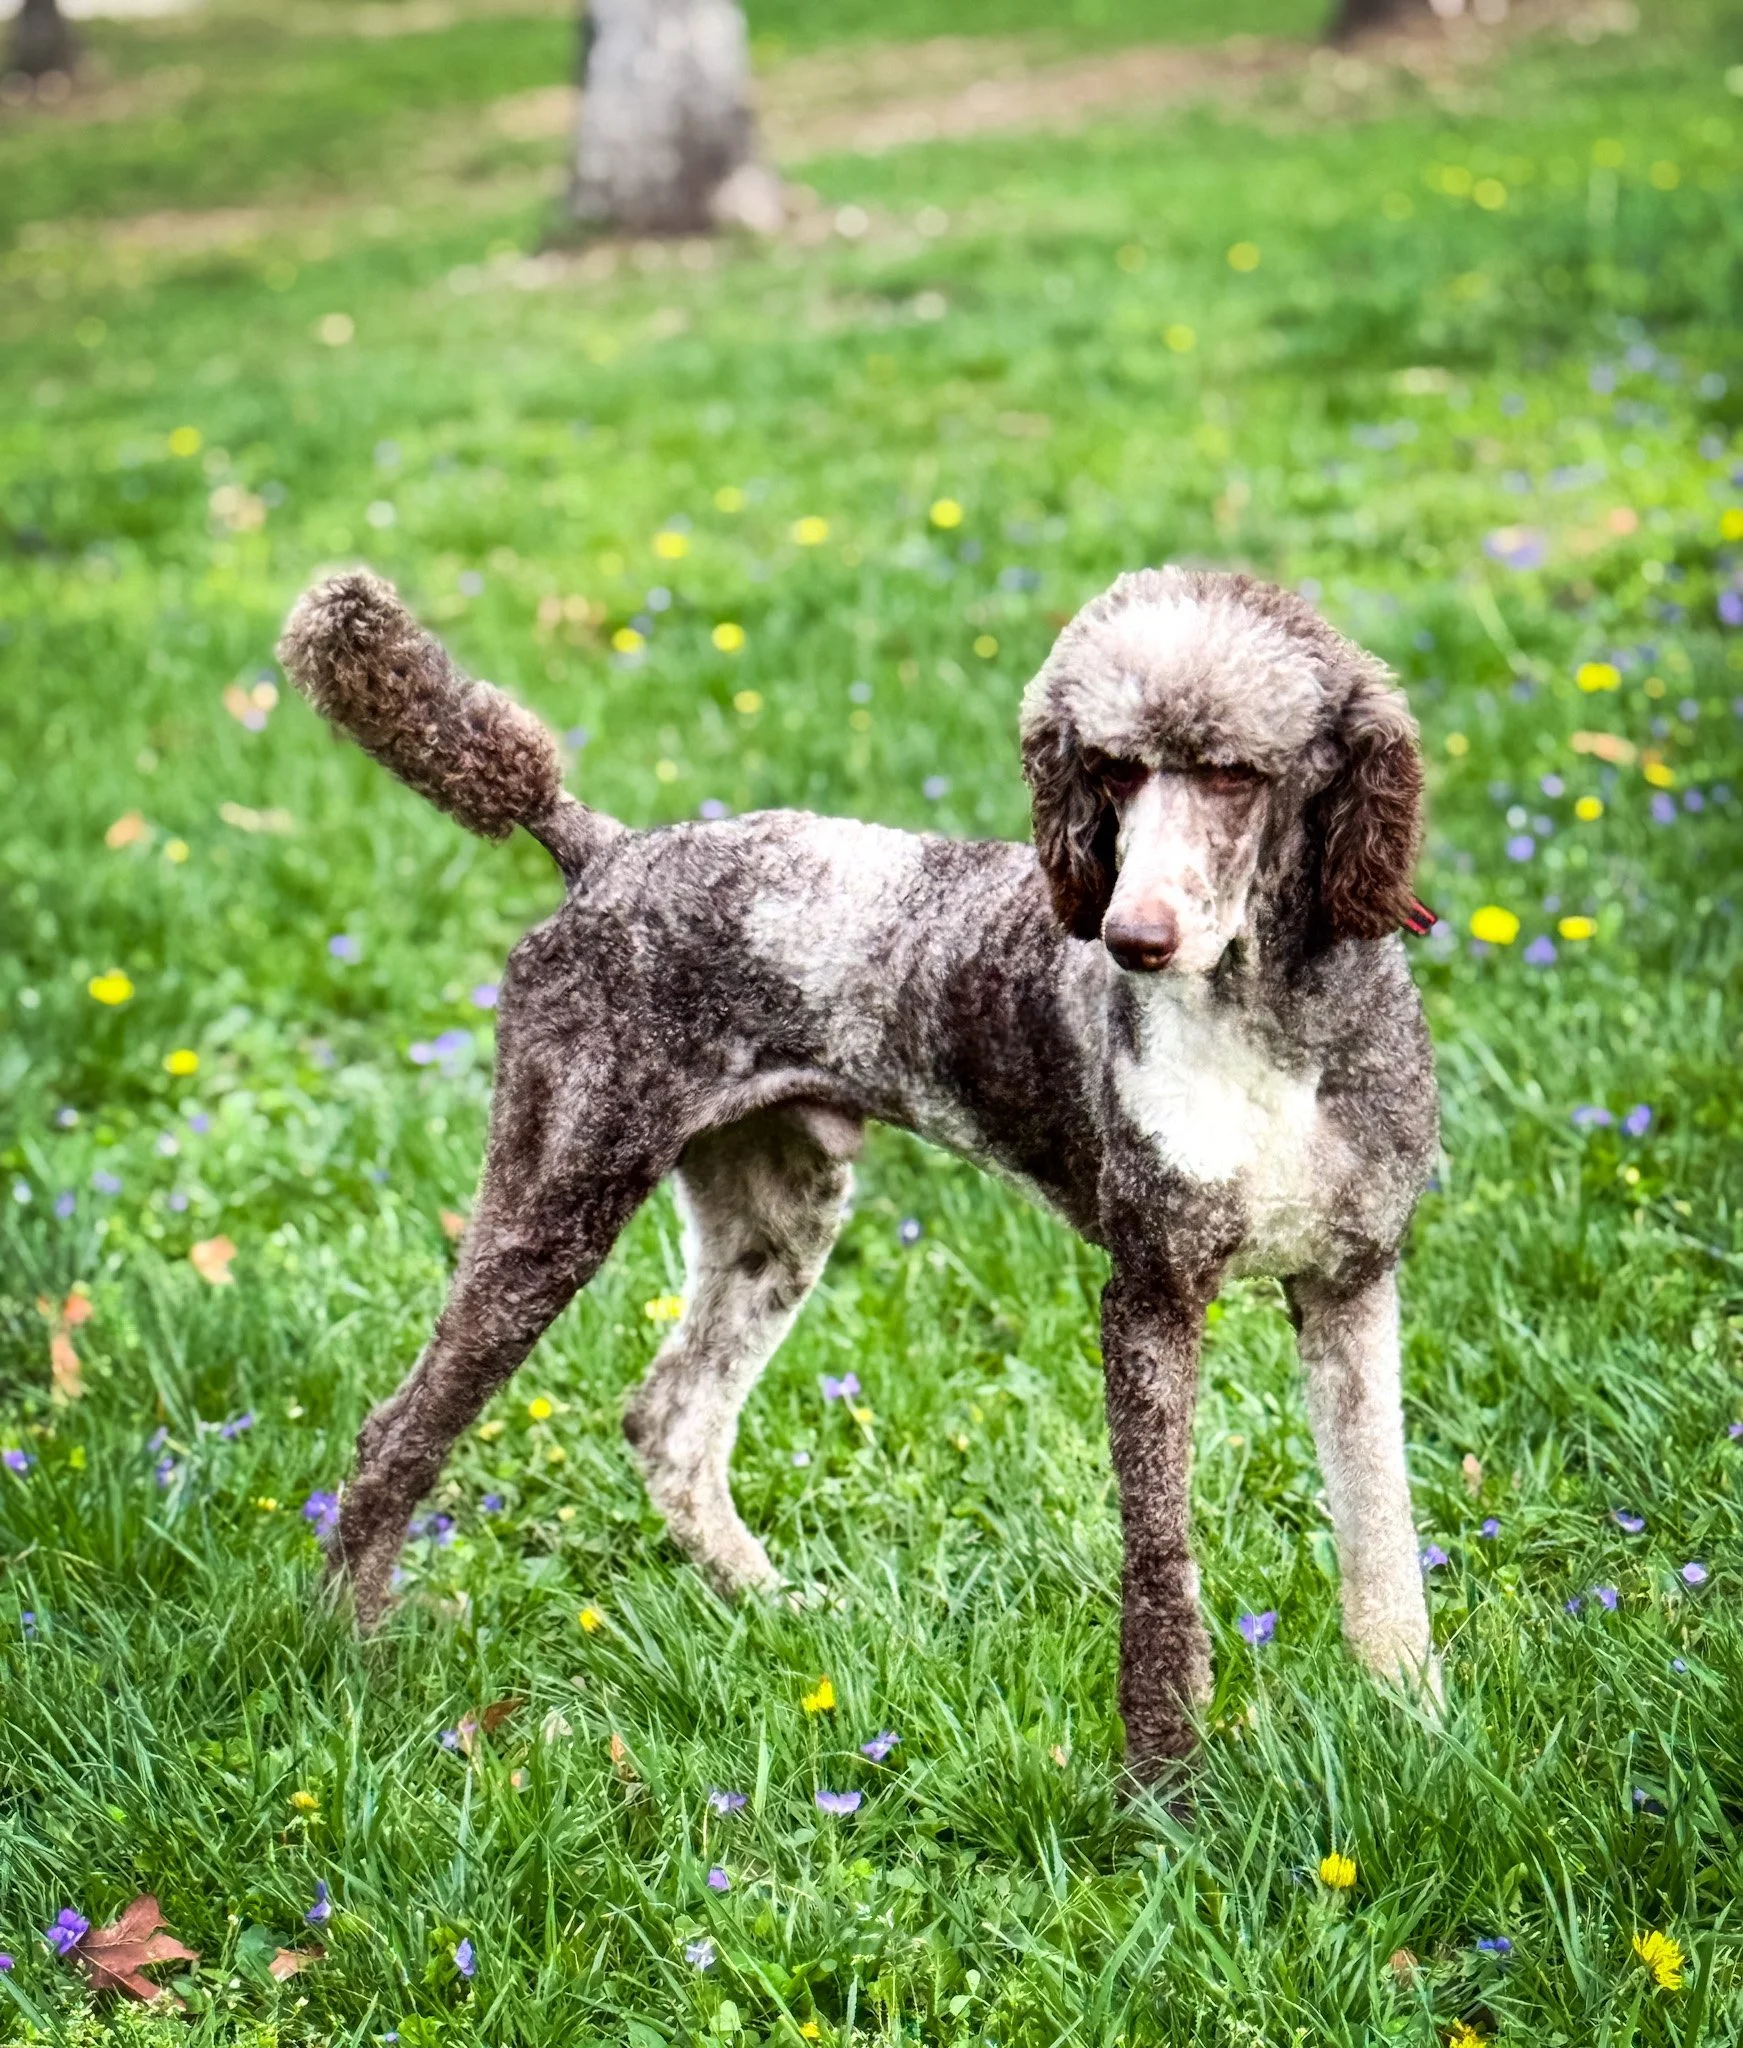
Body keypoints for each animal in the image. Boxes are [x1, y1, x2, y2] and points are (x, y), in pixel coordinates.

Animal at [279, 563, 1440, 1775]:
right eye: (1111, 769)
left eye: (1233, 773)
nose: (1131, 940)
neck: (1273, 1034)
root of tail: (602, 847)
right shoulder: (1153, 1292)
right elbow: (1162, 1572)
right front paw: (1164, 1783)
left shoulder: (1352, 1281)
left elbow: (1379, 1529)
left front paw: (1409, 1722)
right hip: (558, 1194)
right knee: (400, 1434)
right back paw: (352, 1657)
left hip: (776, 1213)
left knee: (671, 1420)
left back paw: (775, 1612)